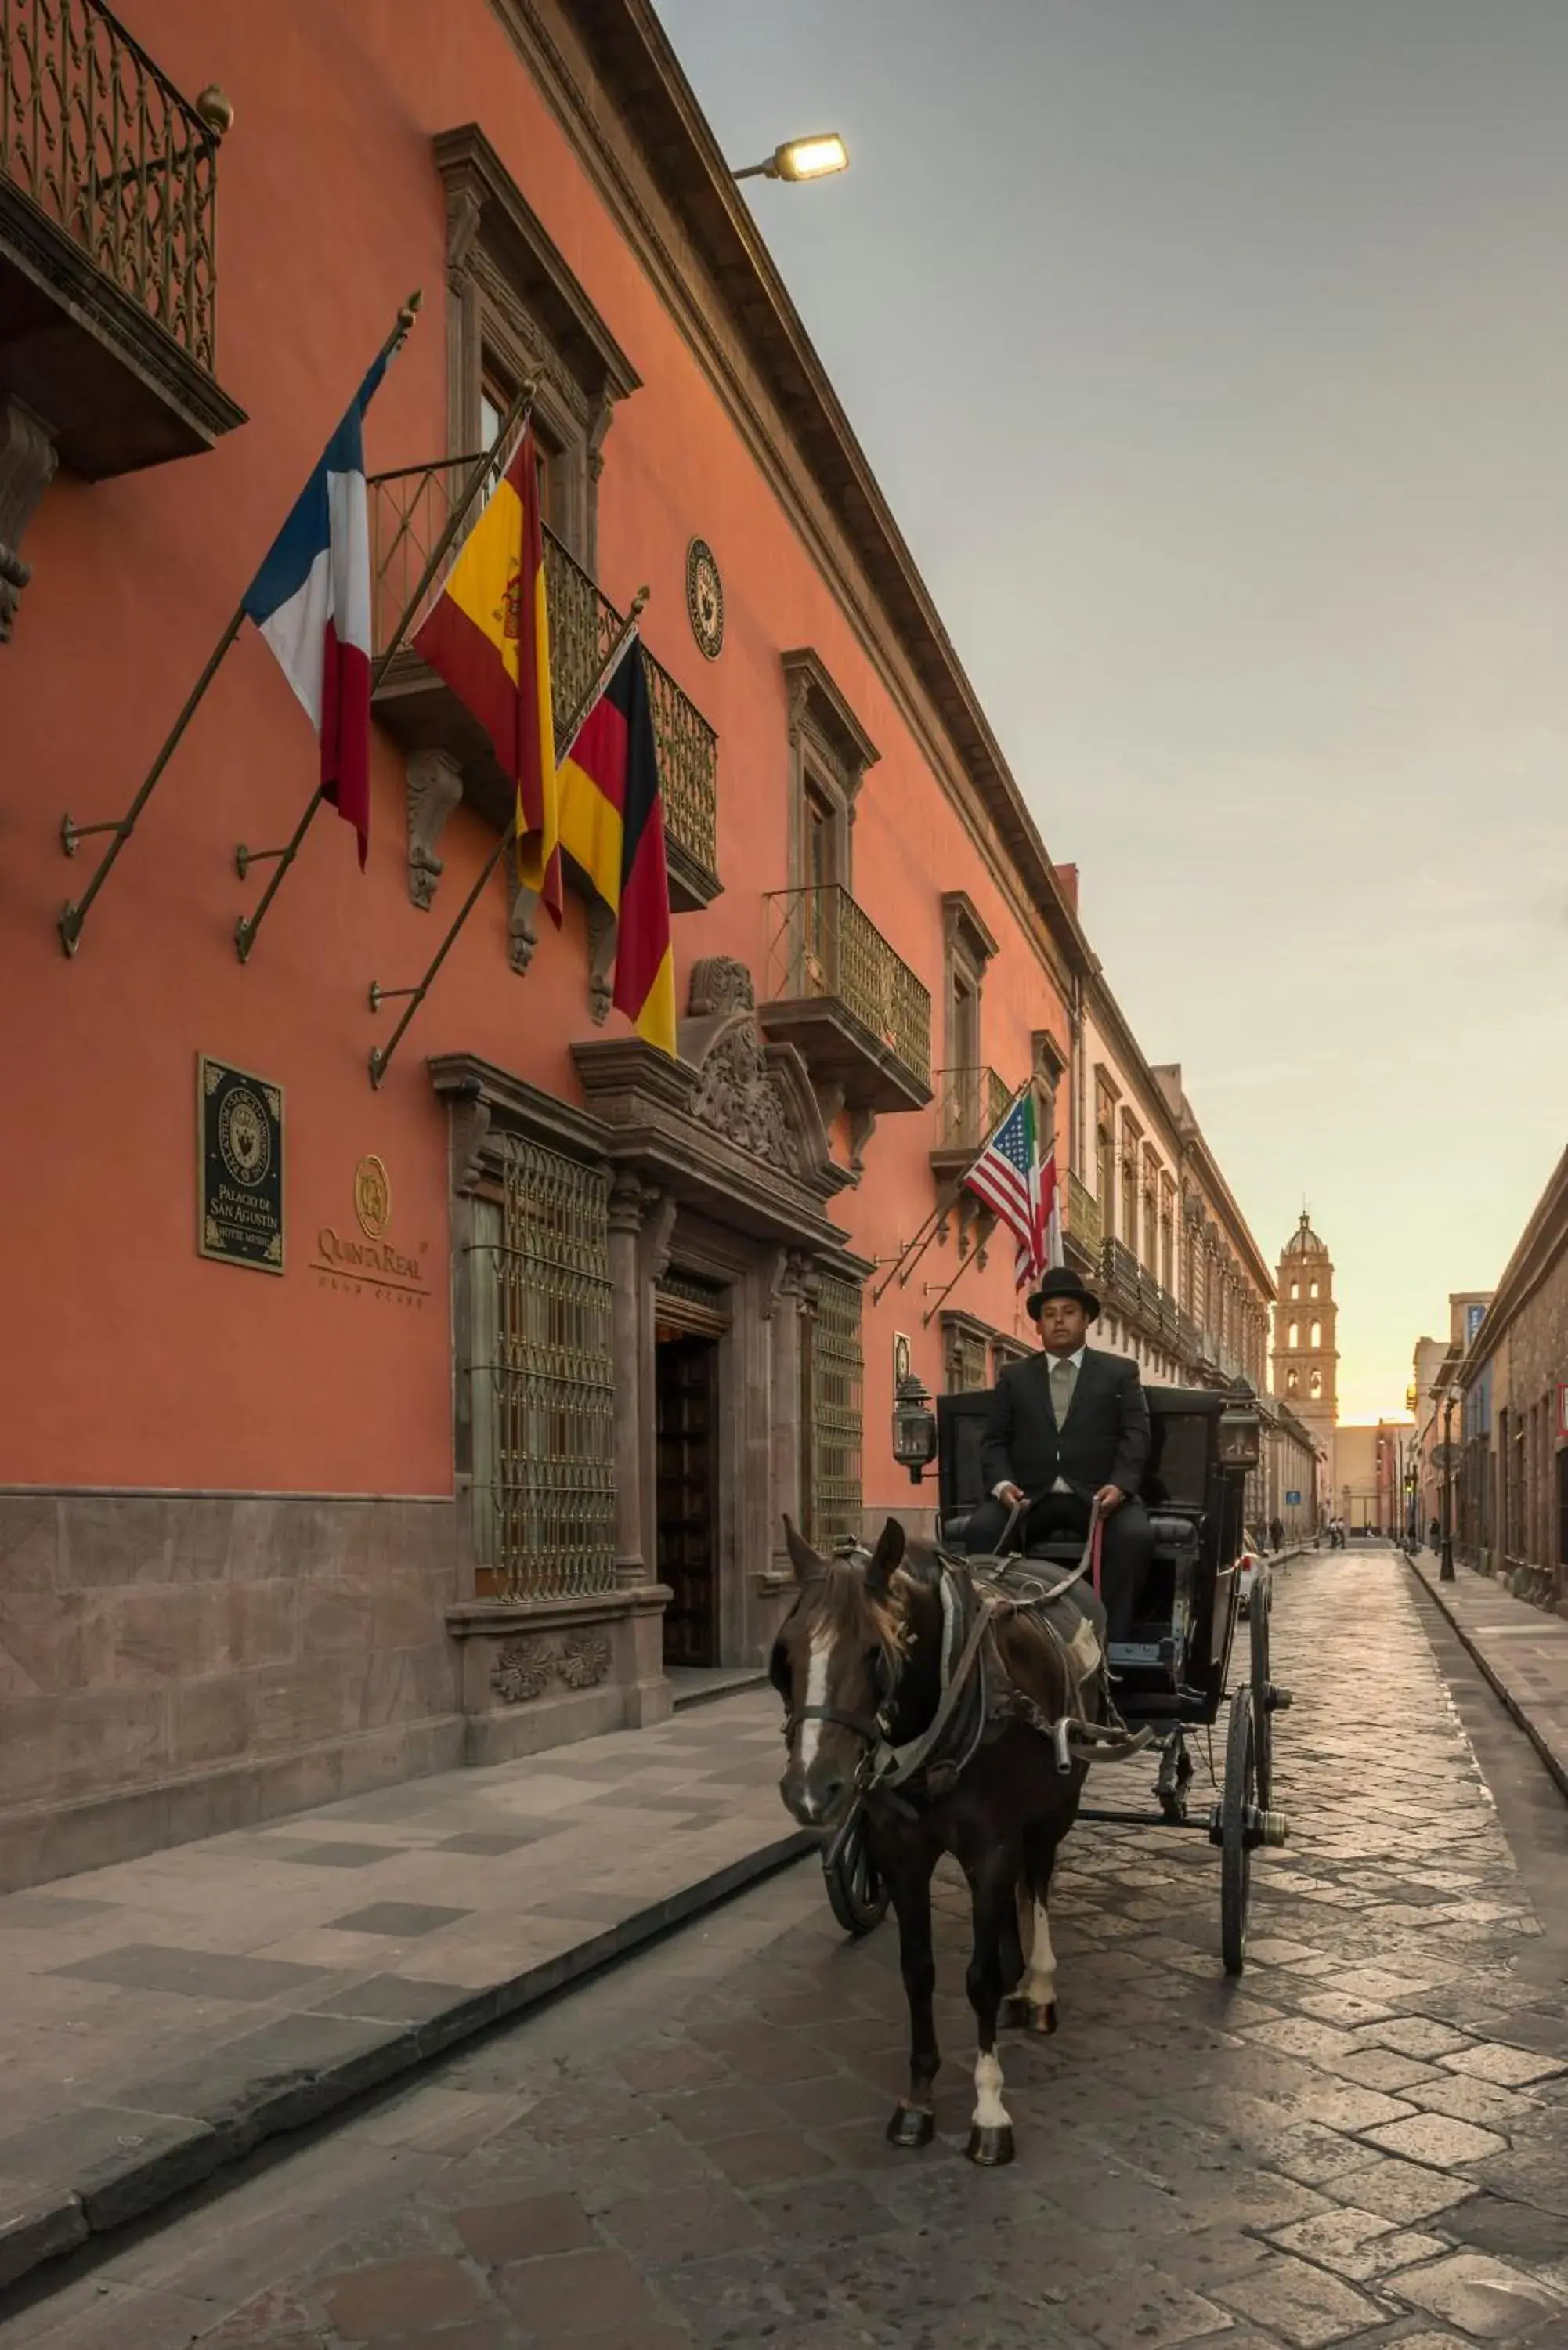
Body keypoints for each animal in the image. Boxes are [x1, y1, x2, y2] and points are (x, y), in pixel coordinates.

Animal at [771, 1513, 1090, 2153]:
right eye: (785, 1654)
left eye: (877, 1653)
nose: (811, 1789)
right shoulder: (899, 1850)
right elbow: (917, 1970)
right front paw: (918, 2099)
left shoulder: (990, 1848)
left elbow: (979, 1978)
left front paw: (989, 2110)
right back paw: (1021, 1987)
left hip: (1055, 1805)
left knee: (1039, 1878)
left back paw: (1040, 1988)